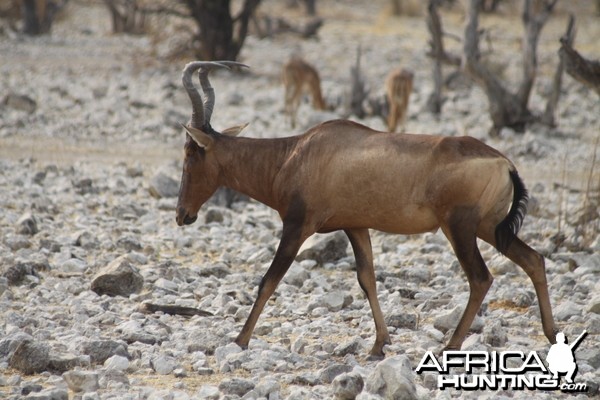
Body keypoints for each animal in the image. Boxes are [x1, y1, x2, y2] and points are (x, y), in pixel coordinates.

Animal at [175, 61, 556, 360]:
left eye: (190, 154)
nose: (182, 215)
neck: (296, 153)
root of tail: (504, 163)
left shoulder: (297, 226)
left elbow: (269, 280)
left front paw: (239, 340)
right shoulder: (355, 227)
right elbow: (367, 279)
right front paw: (378, 345)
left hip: (460, 228)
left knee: (481, 278)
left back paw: (450, 347)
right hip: (489, 227)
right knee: (534, 260)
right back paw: (552, 335)